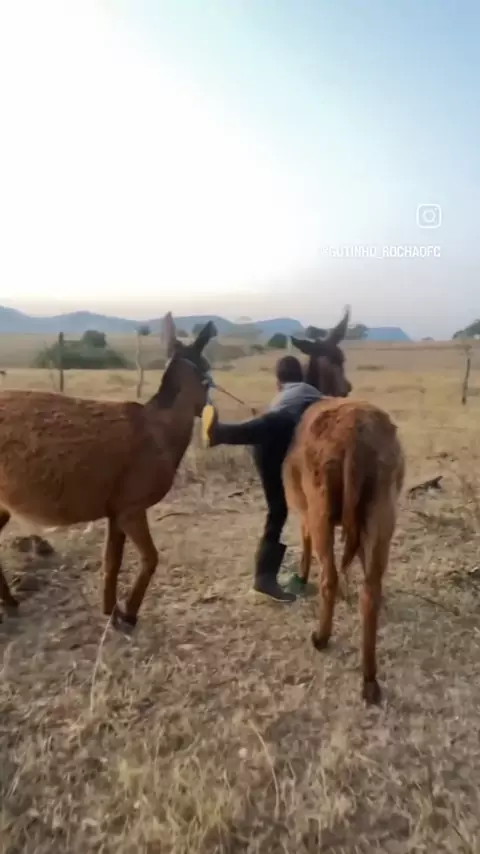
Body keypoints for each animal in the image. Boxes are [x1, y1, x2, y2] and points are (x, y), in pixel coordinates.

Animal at [0, 313, 216, 627]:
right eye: (208, 371)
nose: (209, 409)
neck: (161, 434)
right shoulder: (132, 505)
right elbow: (151, 558)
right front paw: (129, 614)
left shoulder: (115, 508)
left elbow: (112, 562)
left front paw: (111, 612)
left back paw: (11, 603)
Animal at [285, 310, 405, 704]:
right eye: (338, 358)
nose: (348, 385)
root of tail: (357, 438)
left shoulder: (303, 507)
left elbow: (306, 543)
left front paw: (300, 575)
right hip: (383, 510)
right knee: (373, 588)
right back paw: (370, 678)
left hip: (322, 506)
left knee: (330, 577)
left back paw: (321, 637)